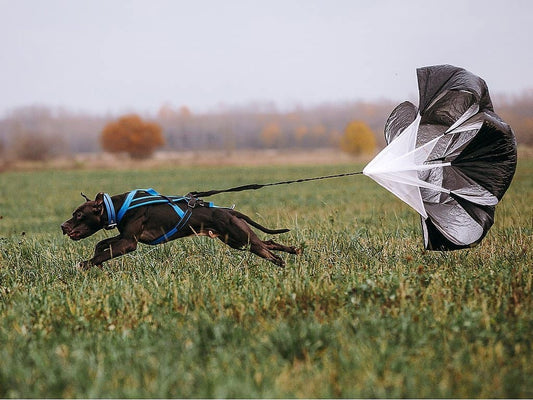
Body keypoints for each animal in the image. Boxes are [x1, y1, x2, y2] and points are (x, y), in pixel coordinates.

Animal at [62, 190, 300, 268]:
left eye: (79, 215)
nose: (63, 226)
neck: (118, 206)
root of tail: (229, 212)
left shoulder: (129, 242)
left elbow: (103, 253)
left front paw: (85, 264)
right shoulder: (125, 236)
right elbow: (101, 244)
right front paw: (95, 261)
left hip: (241, 238)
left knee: (268, 251)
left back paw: (283, 263)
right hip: (236, 240)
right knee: (269, 243)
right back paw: (293, 250)